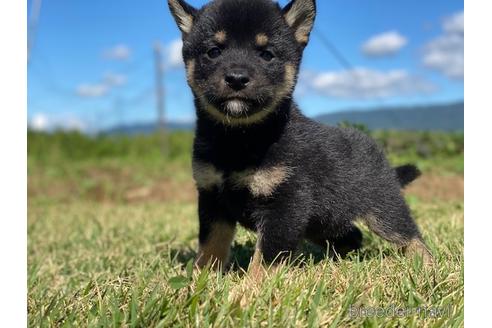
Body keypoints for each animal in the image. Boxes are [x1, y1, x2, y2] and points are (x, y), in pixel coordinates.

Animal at [168, 0, 430, 272]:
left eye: (266, 54)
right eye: (213, 51)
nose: (237, 79)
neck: (239, 139)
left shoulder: (285, 203)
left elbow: (265, 258)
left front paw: (251, 284)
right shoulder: (212, 198)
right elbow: (210, 248)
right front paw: (202, 278)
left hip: (382, 210)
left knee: (410, 236)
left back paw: (426, 266)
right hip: (324, 221)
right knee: (353, 236)